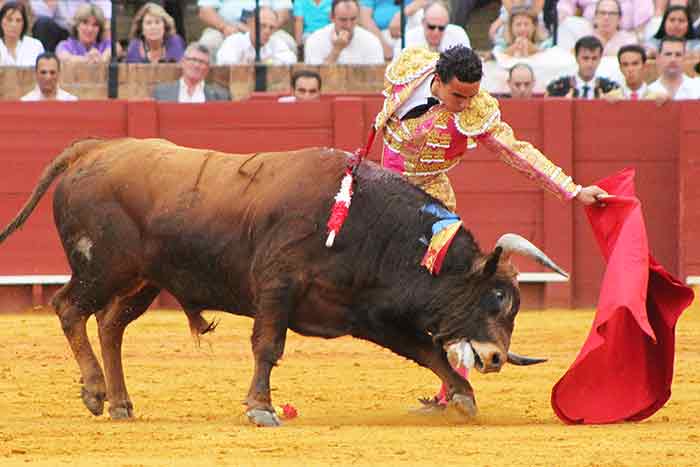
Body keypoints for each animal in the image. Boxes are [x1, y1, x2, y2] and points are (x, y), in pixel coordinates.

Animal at [0, 137, 564, 426]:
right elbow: (267, 347)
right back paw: (96, 393)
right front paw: (260, 409)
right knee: (69, 308)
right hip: (102, 268)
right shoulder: (277, 287)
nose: (496, 358)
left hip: (142, 281)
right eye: (495, 297)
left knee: (110, 325)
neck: (367, 223)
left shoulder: (366, 313)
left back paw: (119, 402)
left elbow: (423, 350)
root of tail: (93, 150)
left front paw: (463, 396)